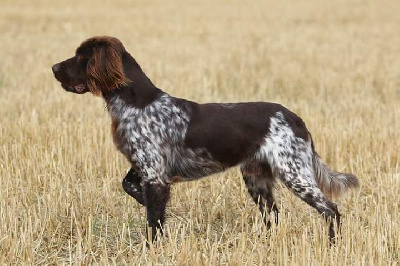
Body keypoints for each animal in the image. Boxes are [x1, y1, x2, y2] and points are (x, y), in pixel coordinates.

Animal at [50, 36, 360, 244]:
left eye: (81, 57)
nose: (53, 68)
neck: (135, 103)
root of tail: (296, 118)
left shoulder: (155, 175)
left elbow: (153, 221)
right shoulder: (145, 169)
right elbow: (131, 189)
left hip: (294, 173)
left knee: (331, 210)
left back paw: (333, 245)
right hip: (257, 180)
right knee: (273, 215)